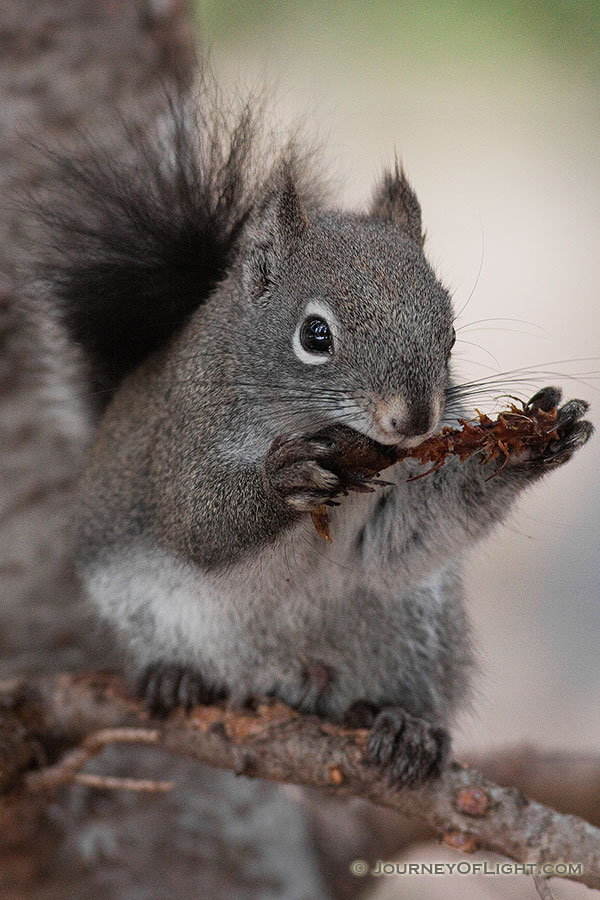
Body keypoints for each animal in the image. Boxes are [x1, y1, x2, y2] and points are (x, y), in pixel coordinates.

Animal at [35, 82, 592, 788]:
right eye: (315, 334)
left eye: (449, 333)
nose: (415, 421)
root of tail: (279, 681)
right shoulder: (182, 435)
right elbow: (196, 520)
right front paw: (282, 480)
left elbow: (404, 540)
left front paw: (528, 443)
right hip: (144, 610)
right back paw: (174, 677)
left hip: (414, 630)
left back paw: (401, 726)